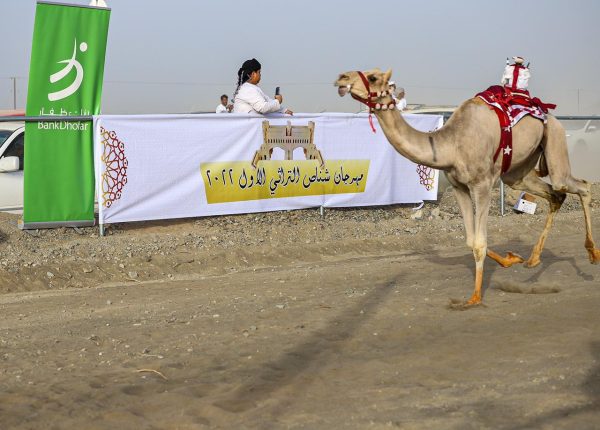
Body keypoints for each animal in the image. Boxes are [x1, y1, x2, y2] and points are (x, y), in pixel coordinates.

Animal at [335, 68, 600, 307]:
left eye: (372, 77)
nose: (341, 78)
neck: (451, 144)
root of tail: (549, 114)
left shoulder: (481, 184)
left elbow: (480, 243)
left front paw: (474, 298)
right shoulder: (458, 186)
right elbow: (471, 241)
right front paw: (511, 259)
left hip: (554, 139)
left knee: (579, 186)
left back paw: (592, 254)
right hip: (518, 173)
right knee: (555, 195)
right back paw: (533, 260)